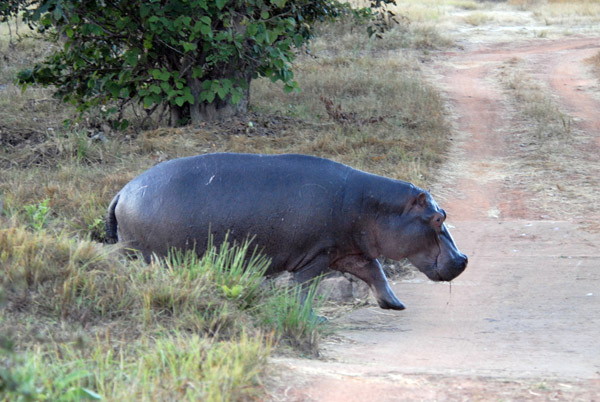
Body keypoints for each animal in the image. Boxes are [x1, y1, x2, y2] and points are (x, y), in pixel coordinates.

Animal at [105, 152, 466, 310]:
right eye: (438, 218)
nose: (463, 258)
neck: (371, 205)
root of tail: (121, 192)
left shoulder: (347, 252)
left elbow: (376, 272)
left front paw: (395, 305)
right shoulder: (317, 255)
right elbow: (305, 287)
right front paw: (309, 315)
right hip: (144, 255)